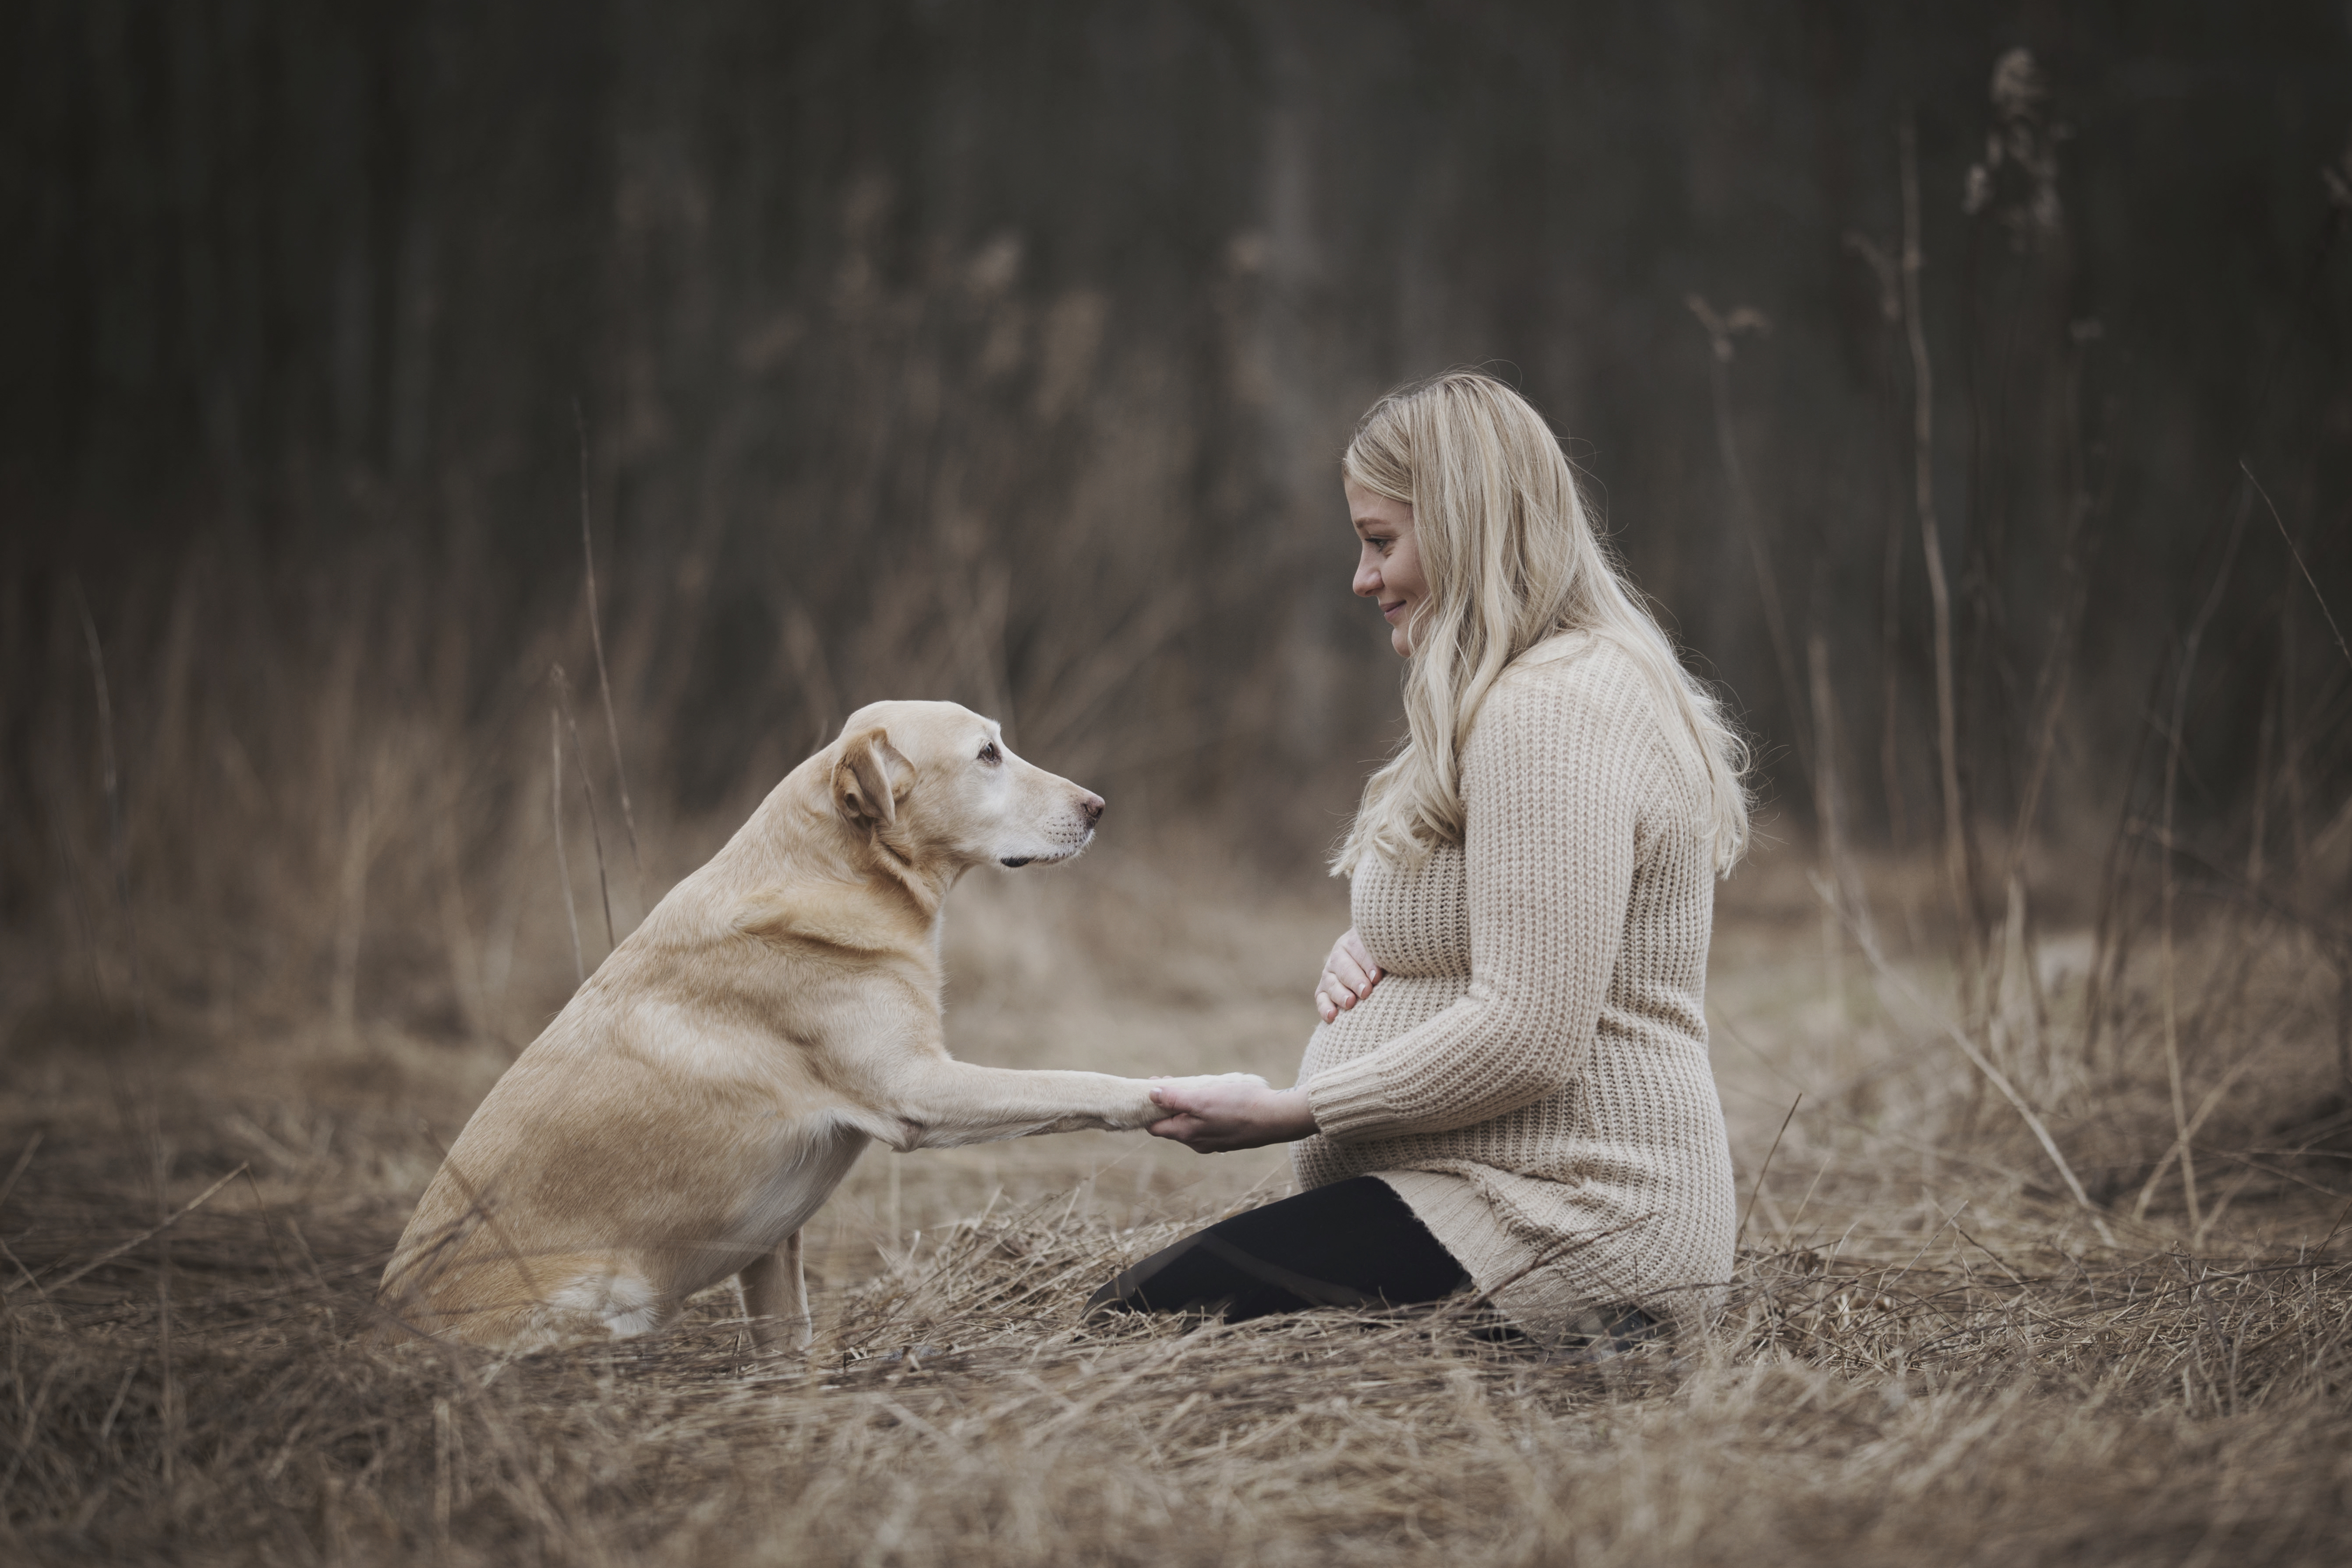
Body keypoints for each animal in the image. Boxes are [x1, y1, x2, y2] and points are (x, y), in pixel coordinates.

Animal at [376, 705, 1241, 1354]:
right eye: (988, 753)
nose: (1099, 806)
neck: (848, 871)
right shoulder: (921, 1090)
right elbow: (1079, 1081)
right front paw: (1206, 1087)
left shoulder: (772, 1245)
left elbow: (785, 1336)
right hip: (601, 1299)